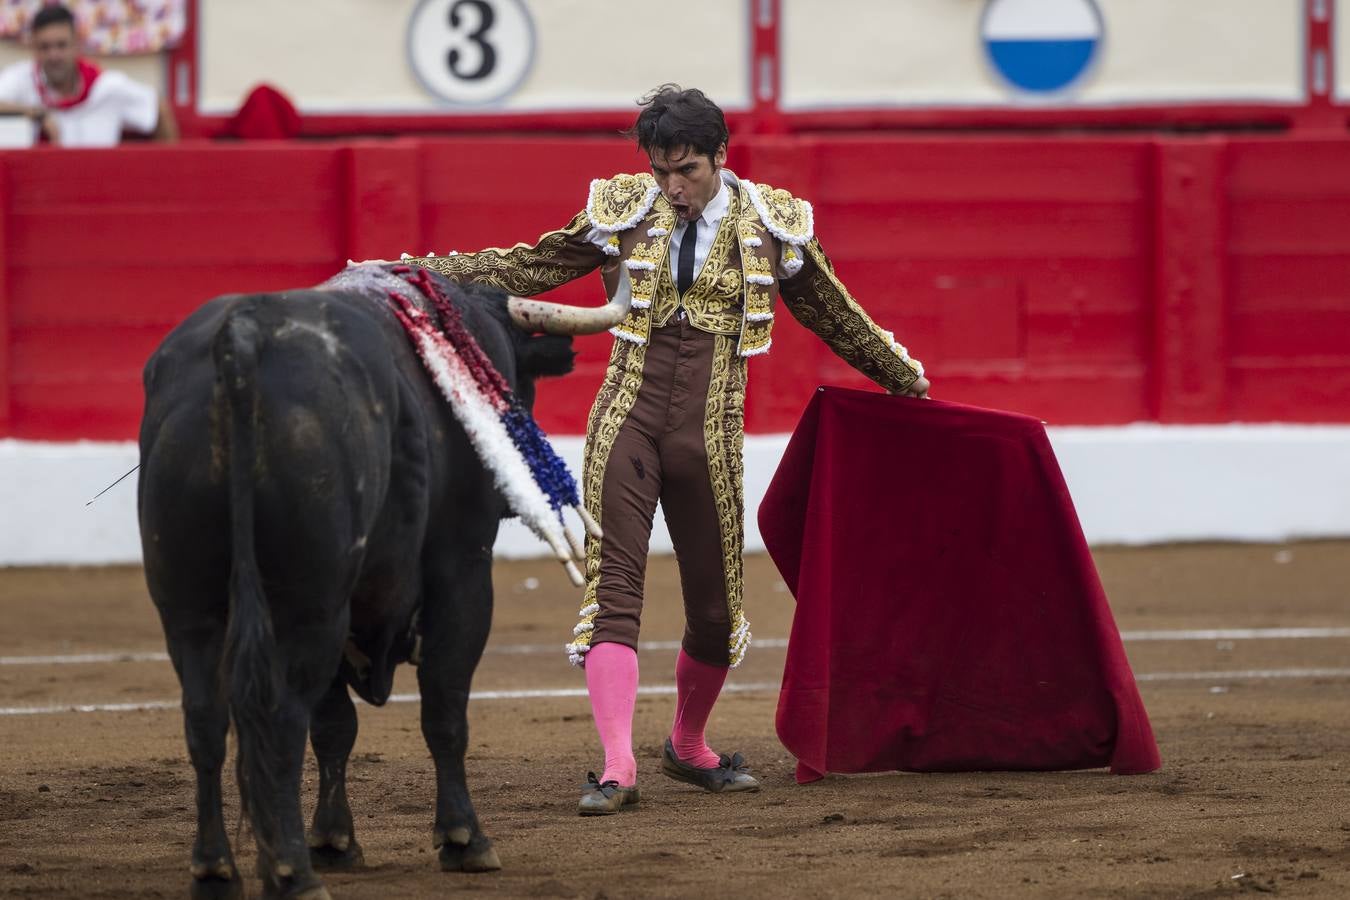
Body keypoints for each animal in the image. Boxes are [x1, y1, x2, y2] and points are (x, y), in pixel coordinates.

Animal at [141, 267, 596, 900]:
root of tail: (243, 338)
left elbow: (335, 726)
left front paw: (335, 840)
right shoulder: (462, 569)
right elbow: (444, 706)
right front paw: (463, 838)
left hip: (186, 602)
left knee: (206, 718)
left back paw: (216, 870)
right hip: (307, 602)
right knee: (281, 717)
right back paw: (291, 874)